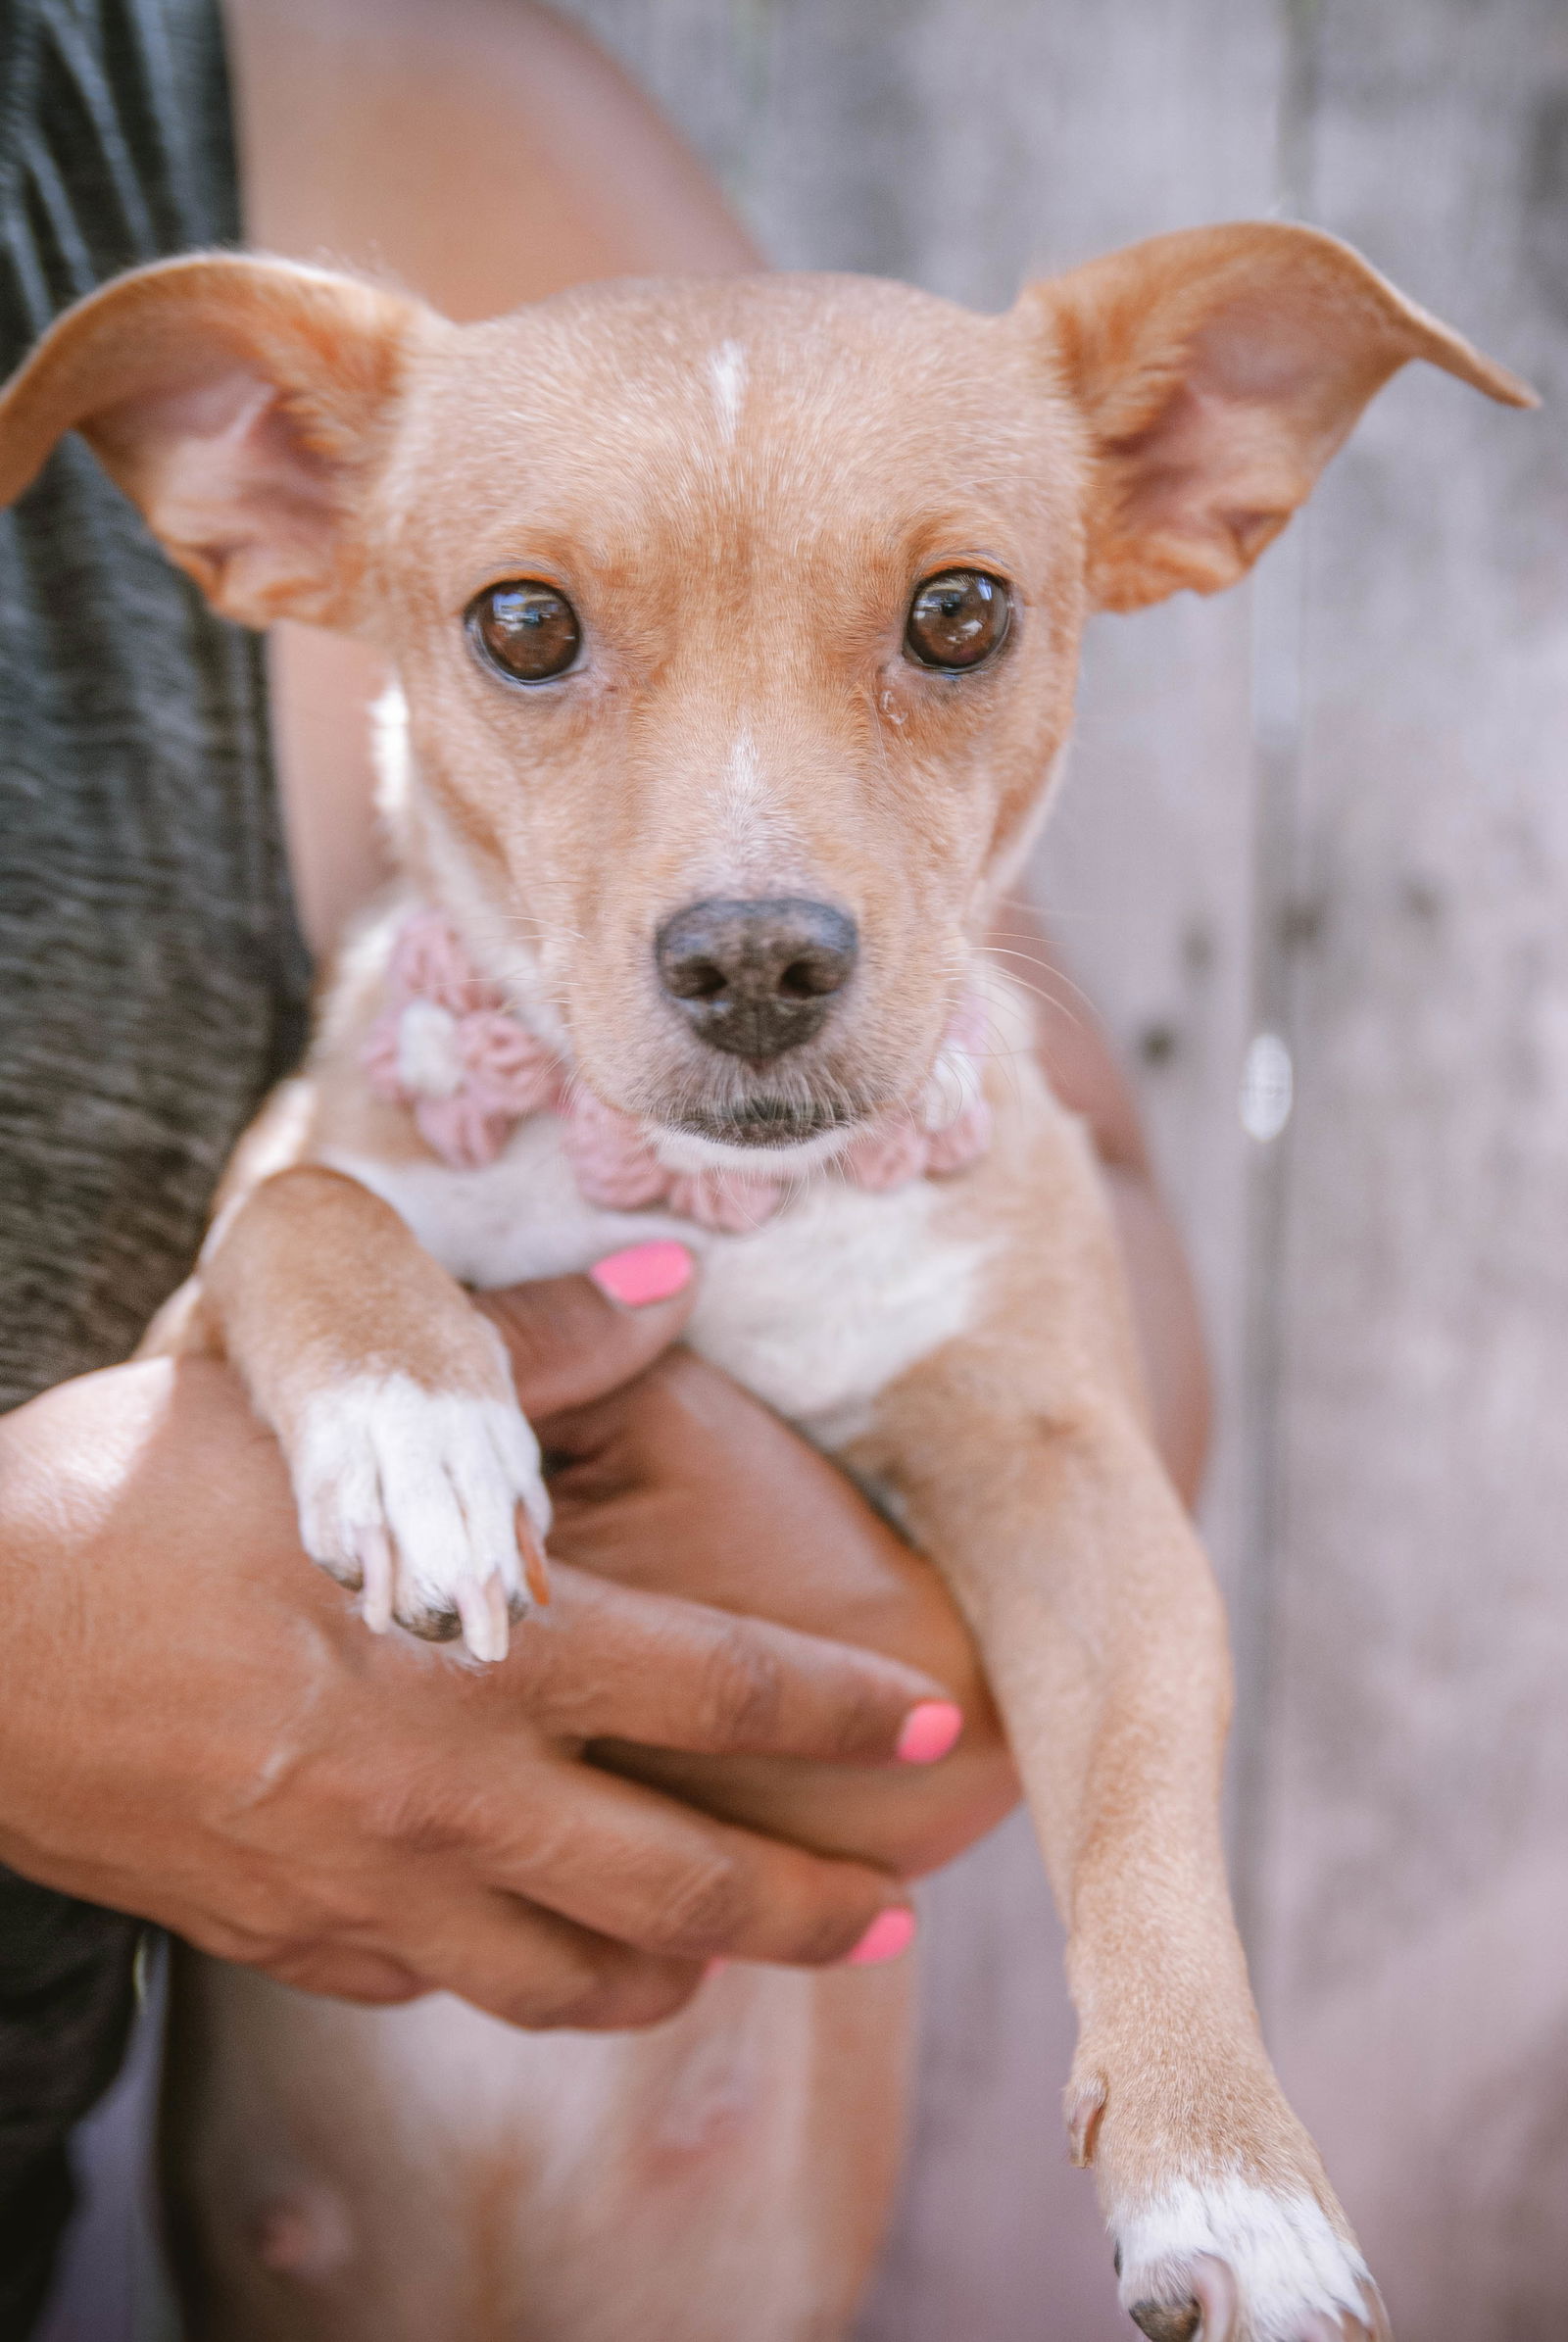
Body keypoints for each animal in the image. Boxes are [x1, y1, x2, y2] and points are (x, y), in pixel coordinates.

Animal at [0, 223, 1518, 2342]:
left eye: (960, 613)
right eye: (523, 626)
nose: (754, 962)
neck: (719, 1203)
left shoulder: (1077, 1487)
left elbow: (1143, 1816)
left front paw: (1231, 2171)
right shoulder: (176, 1329)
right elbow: (315, 1210)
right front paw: (421, 1431)